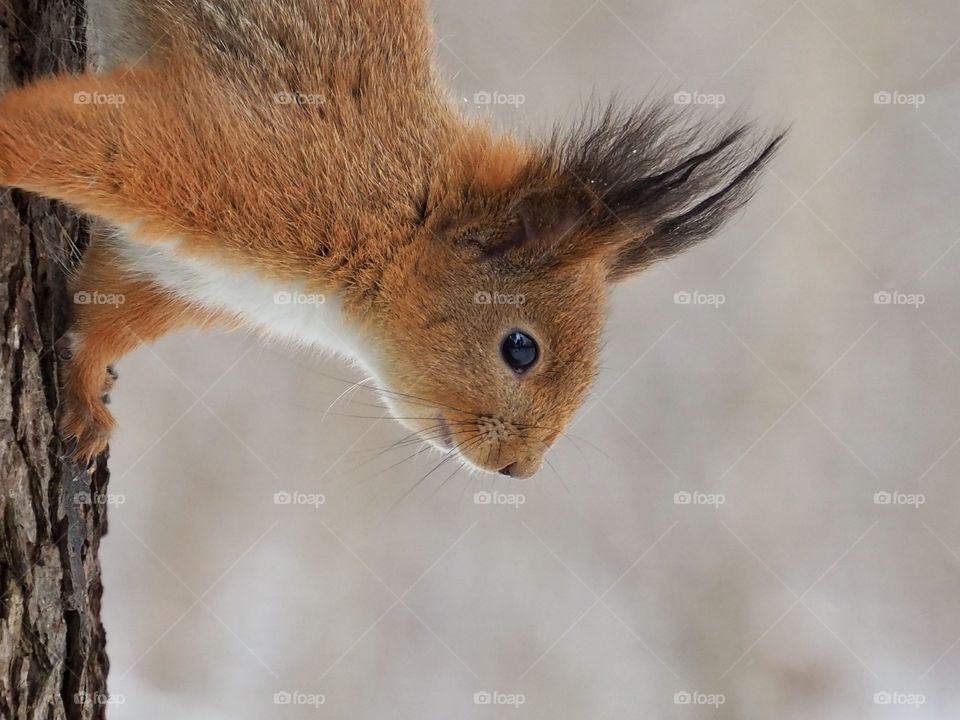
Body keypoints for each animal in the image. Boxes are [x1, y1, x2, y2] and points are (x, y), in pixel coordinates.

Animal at [0, 0, 783, 478]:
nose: (518, 470)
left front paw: (84, 399)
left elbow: (103, 317)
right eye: (520, 348)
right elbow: (82, 136)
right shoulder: (244, 161)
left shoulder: (181, 278)